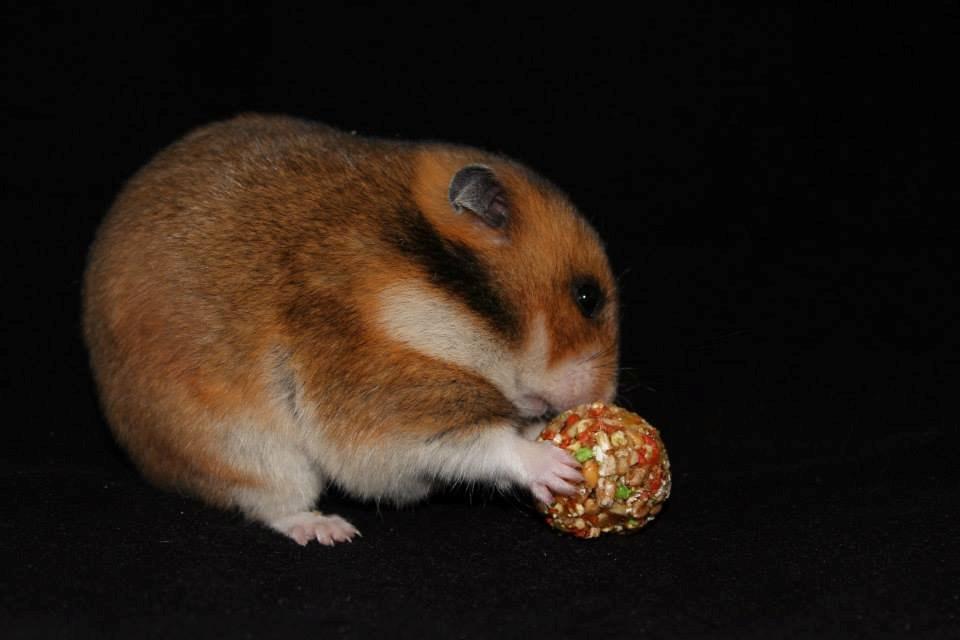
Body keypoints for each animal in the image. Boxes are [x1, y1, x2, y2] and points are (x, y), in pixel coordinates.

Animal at [82, 114, 619, 545]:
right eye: (587, 298)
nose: (606, 397)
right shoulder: (382, 403)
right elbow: (483, 442)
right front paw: (558, 466)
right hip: (246, 452)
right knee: (273, 504)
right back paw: (330, 531)